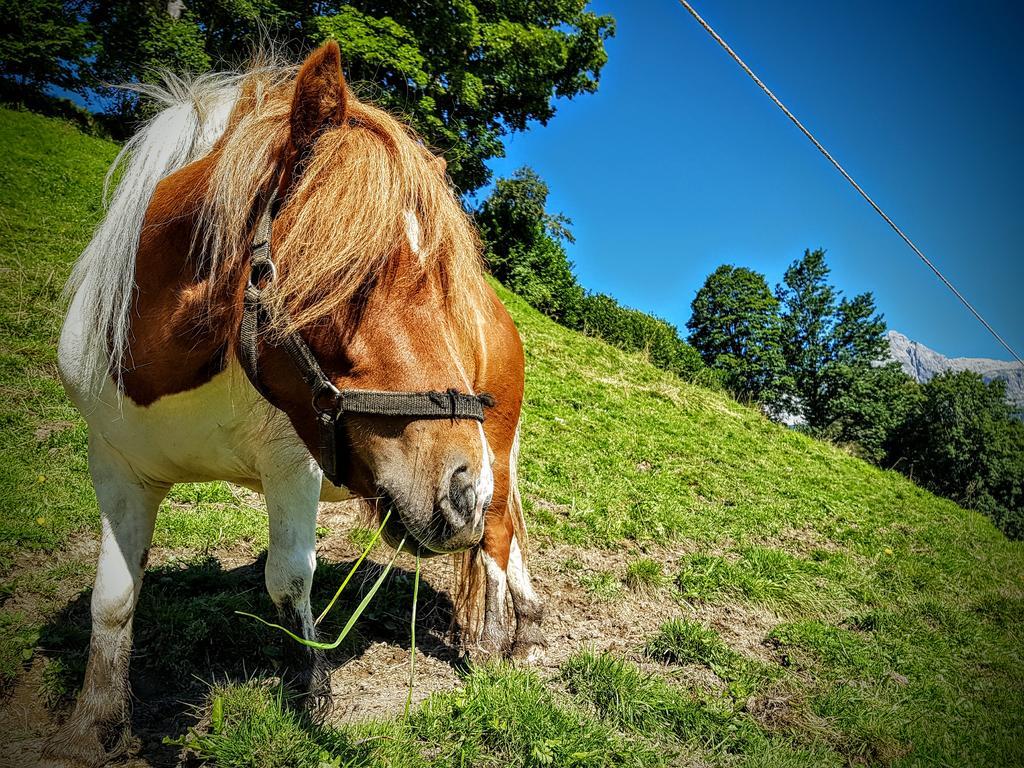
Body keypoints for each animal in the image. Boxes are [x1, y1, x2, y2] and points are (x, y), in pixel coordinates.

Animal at [47, 43, 544, 768]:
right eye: (351, 275)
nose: (458, 489)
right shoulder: (116, 468)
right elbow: (113, 599)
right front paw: (95, 723)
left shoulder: (295, 471)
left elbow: (287, 583)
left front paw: (314, 695)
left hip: (496, 451)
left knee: (498, 535)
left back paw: (500, 639)